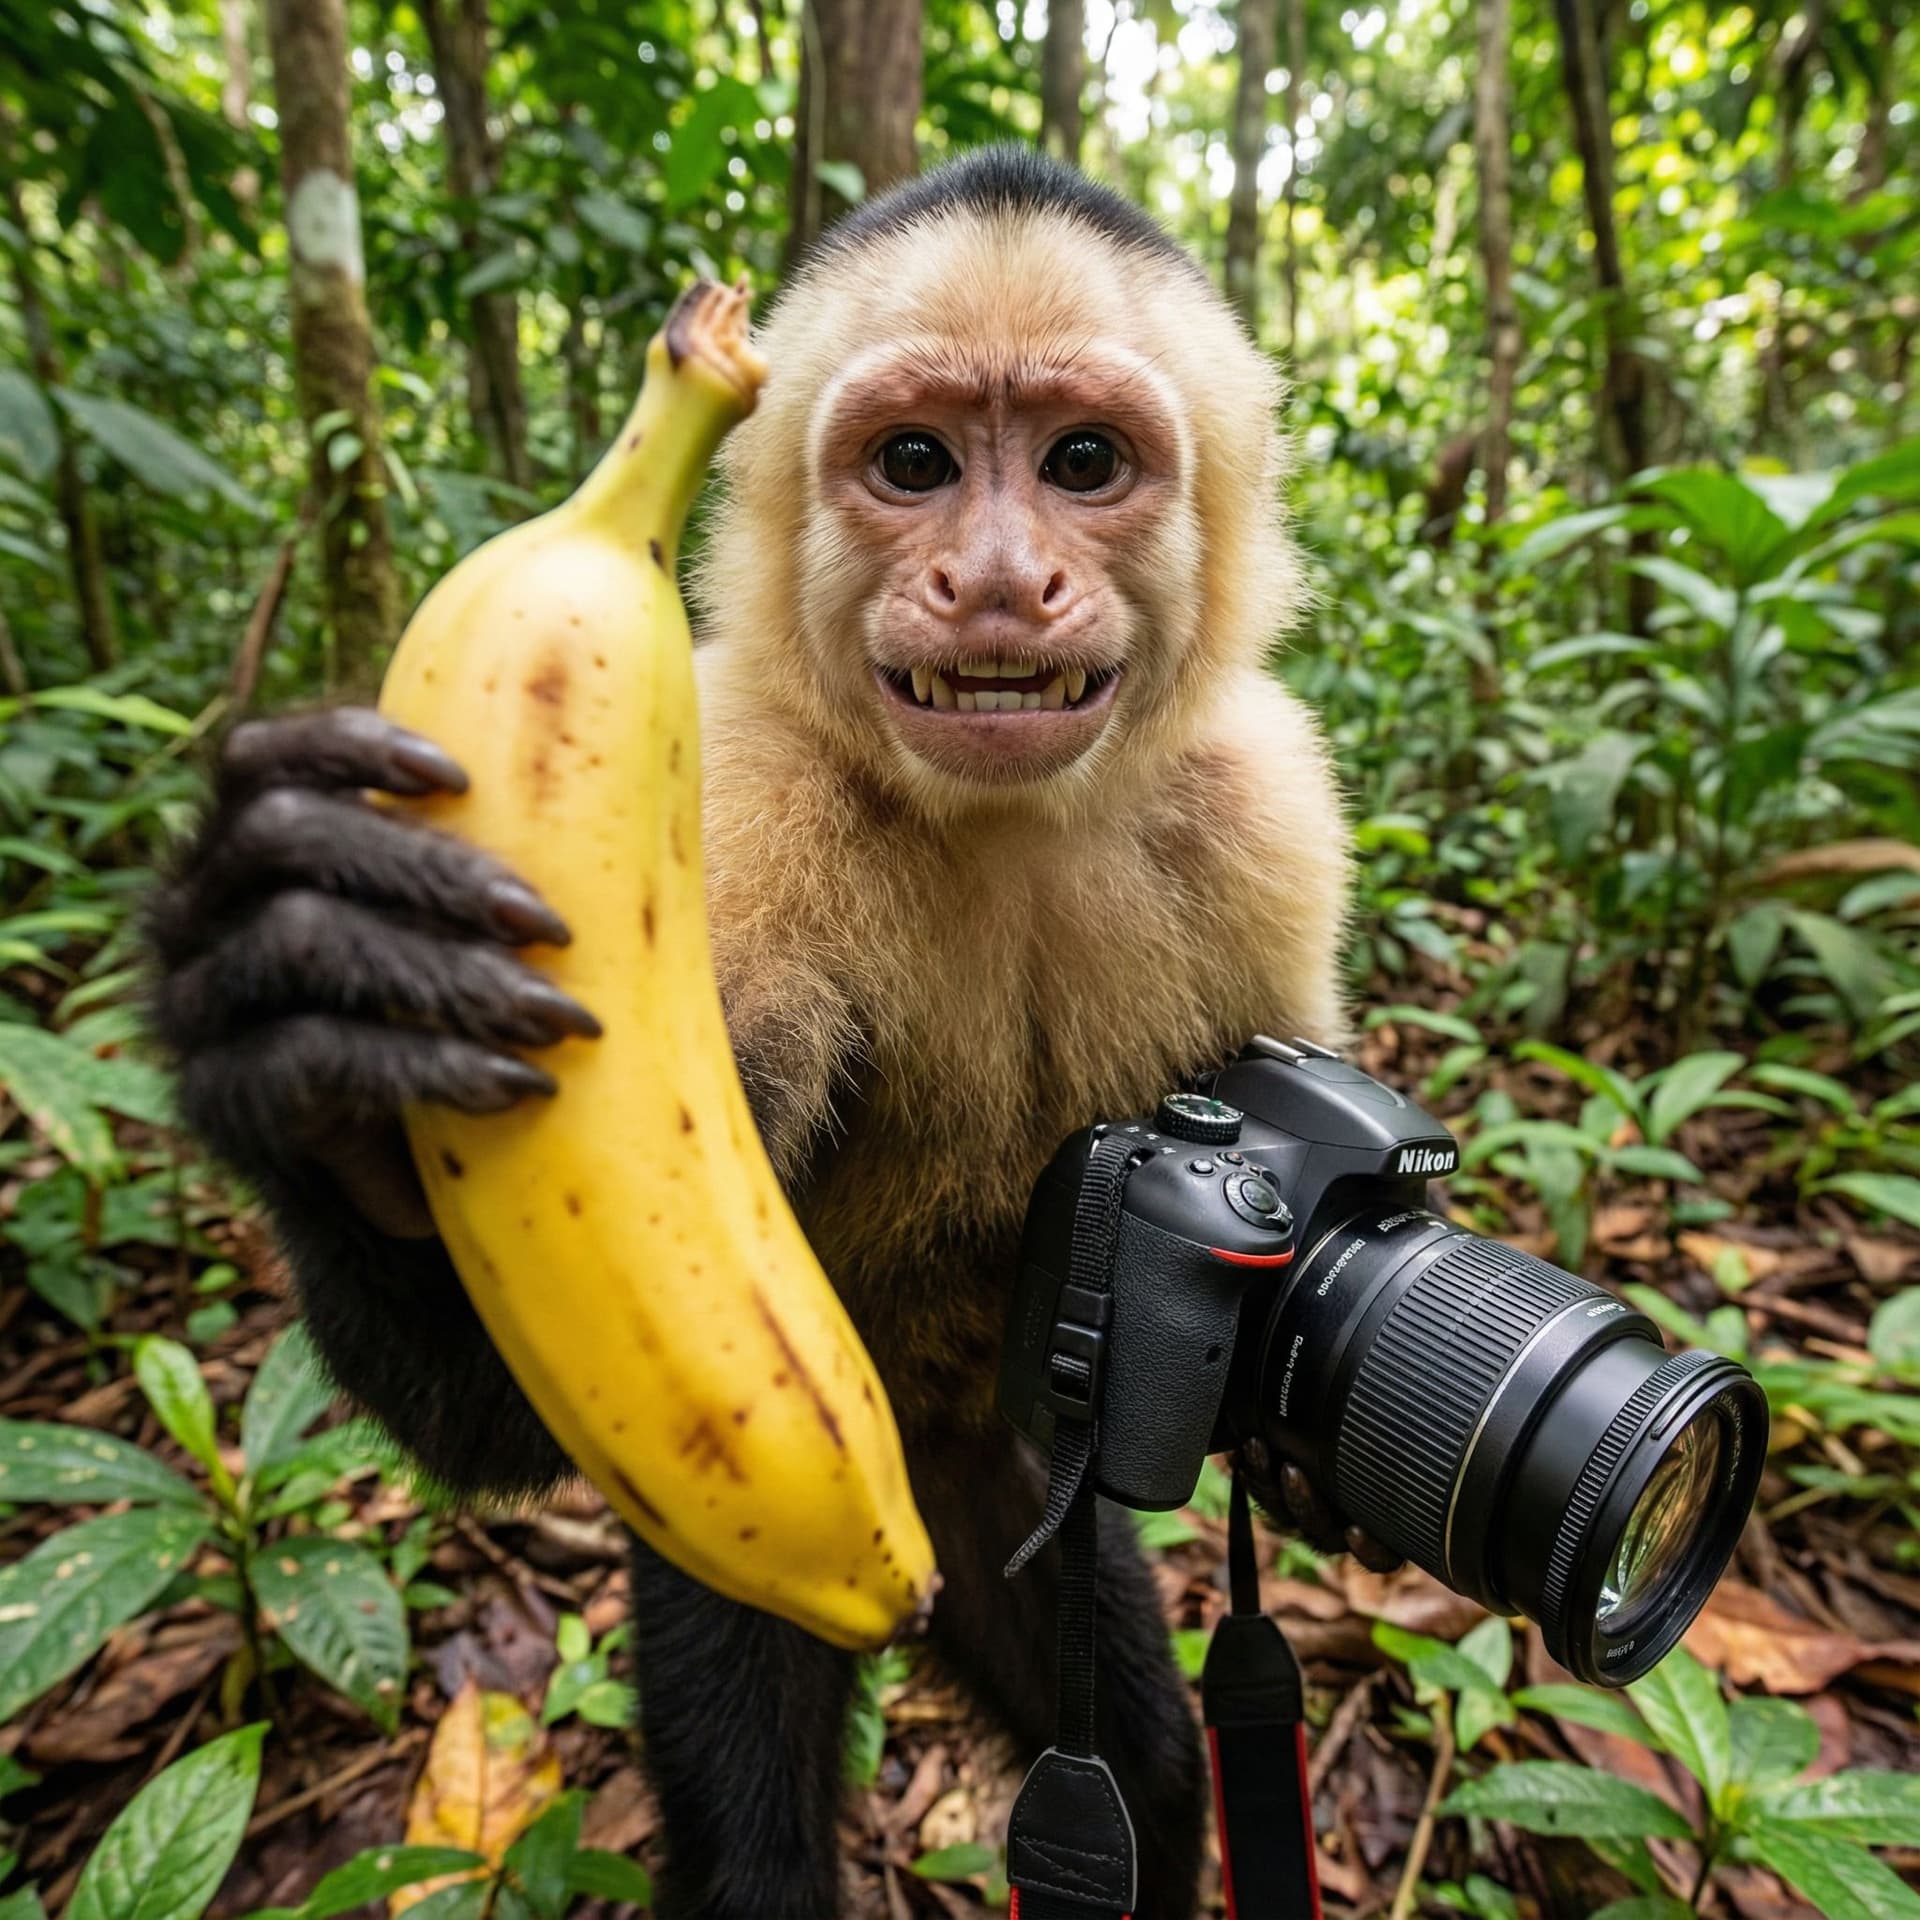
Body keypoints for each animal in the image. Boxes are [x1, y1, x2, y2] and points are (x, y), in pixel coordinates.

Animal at [146, 148, 1389, 1920]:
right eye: (915, 461)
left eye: (1083, 462)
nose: (995, 582)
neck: (1001, 828)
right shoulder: (738, 807)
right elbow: (514, 1410)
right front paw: (320, 1028)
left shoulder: (1270, 813)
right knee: (760, 1831)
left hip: (1006, 1496)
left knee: (1142, 1770)